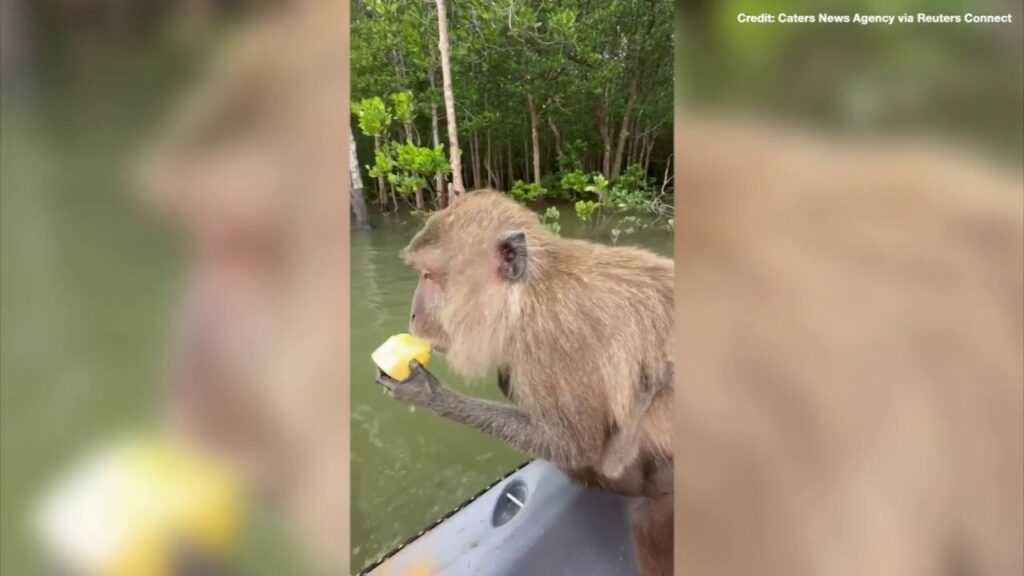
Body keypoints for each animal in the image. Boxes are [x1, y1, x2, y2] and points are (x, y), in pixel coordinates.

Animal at [372, 187, 675, 569]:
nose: (412, 315)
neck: (532, 289)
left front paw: (429, 394)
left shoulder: (552, 339)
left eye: (428, 275)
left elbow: (576, 446)